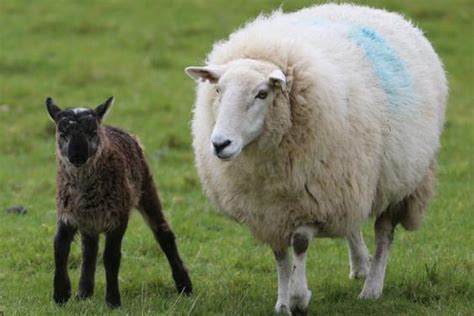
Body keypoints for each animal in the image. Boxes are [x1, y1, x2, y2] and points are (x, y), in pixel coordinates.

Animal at [184, 3, 444, 314]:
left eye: (262, 93)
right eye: (218, 90)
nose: (220, 143)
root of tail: (375, 10)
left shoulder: (312, 200)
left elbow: (299, 244)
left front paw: (299, 298)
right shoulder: (269, 210)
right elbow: (280, 255)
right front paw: (283, 302)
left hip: (400, 179)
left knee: (384, 233)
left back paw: (372, 287)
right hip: (353, 181)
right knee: (353, 225)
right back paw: (361, 267)